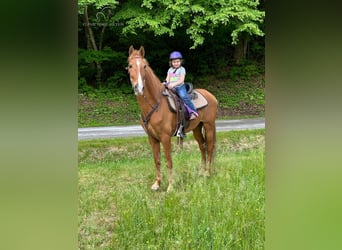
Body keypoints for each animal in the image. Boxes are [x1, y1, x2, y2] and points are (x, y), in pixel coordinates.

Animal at [127, 46, 218, 192]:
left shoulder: (165, 137)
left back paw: (207, 173)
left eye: (144, 66)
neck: (156, 104)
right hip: (197, 128)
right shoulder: (152, 138)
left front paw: (170, 186)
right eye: (130, 66)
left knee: (209, 147)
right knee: (202, 147)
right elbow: (157, 160)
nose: (139, 88)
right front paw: (157, 183)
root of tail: (211, 96)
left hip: (209, 125)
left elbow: (169, 161)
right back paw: (201, 172)